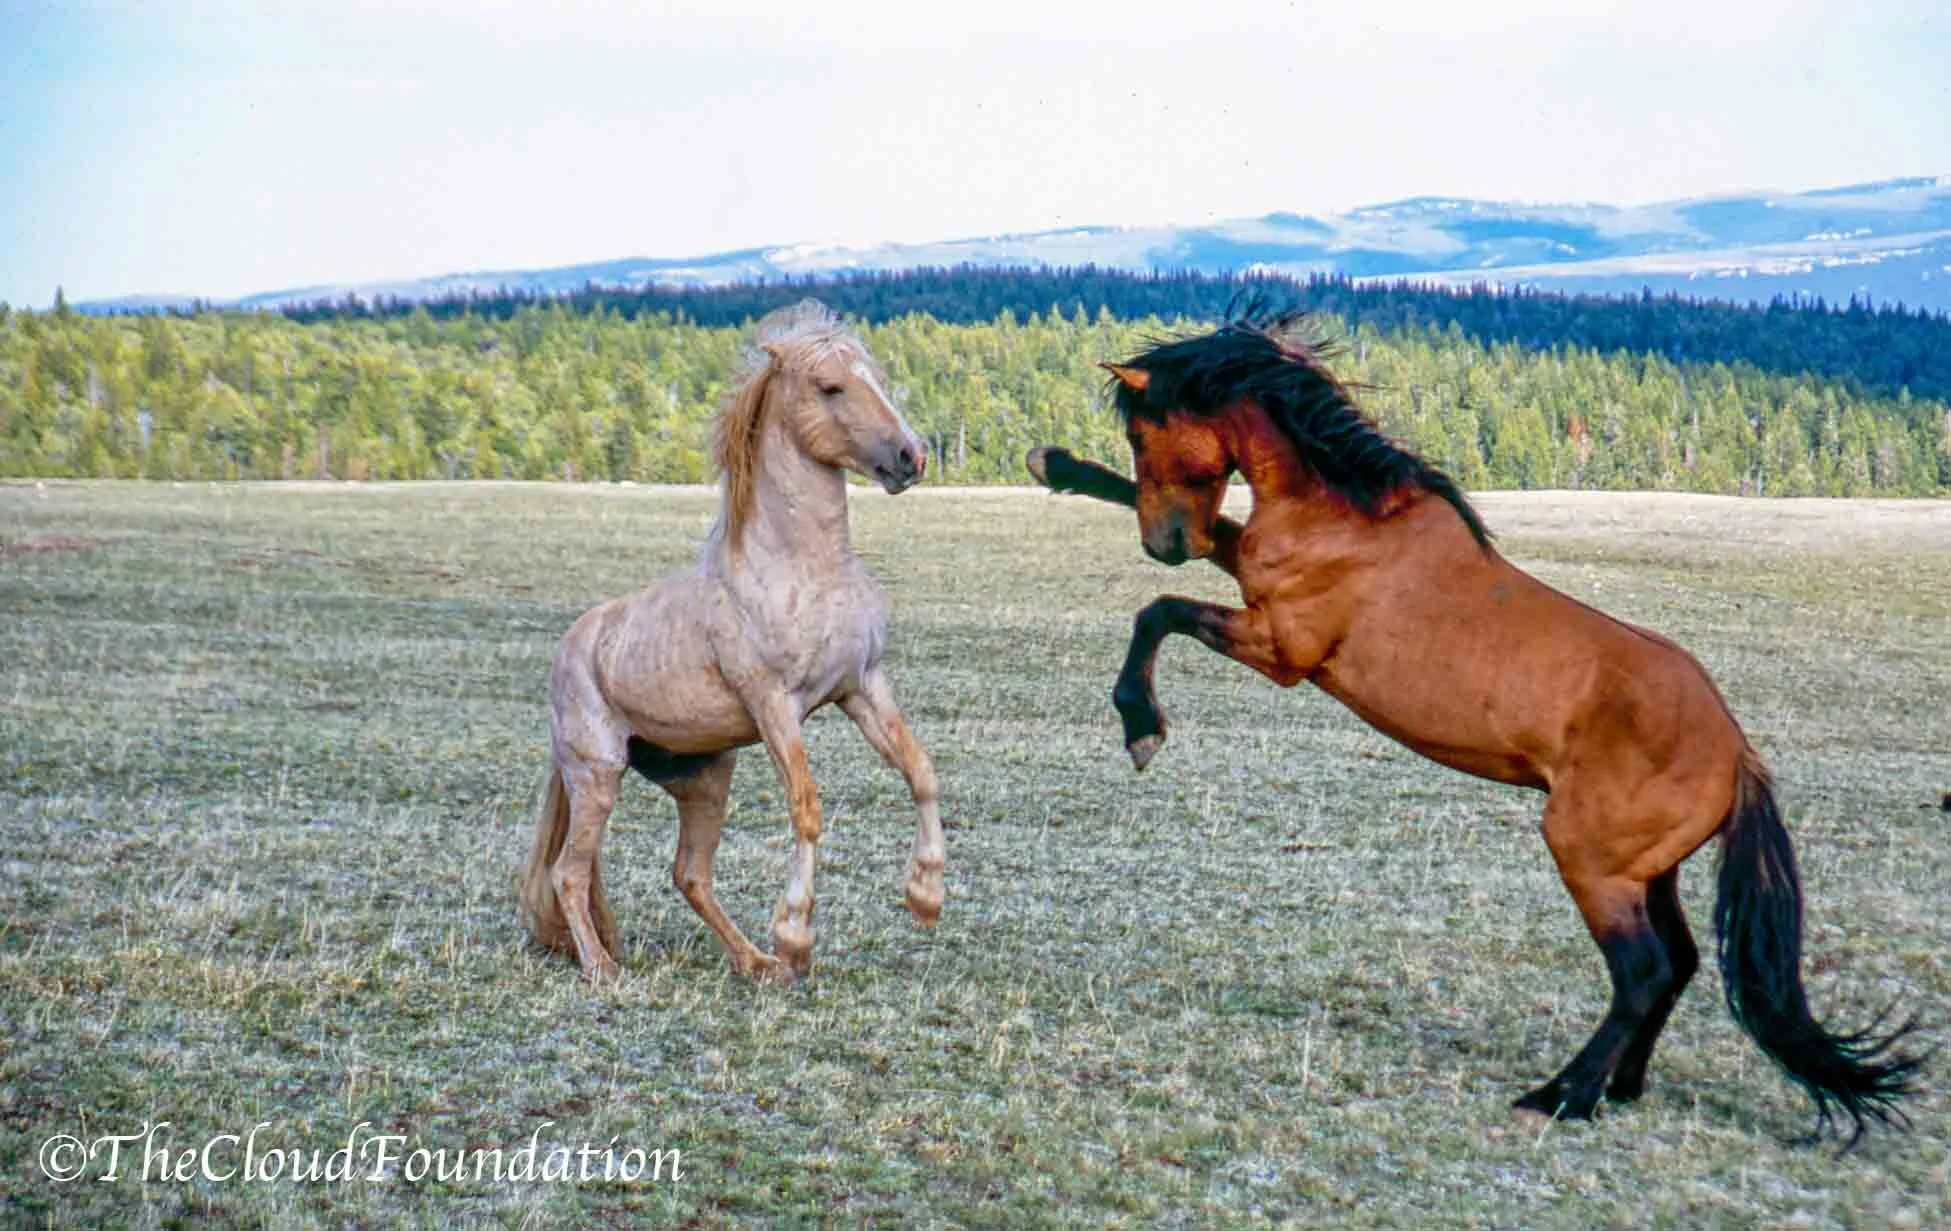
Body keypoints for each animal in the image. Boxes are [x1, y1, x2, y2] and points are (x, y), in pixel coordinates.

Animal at [518, 300, 944, 986]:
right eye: (830, 386)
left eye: (874, 377)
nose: (911, 456)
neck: (803, 568)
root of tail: (571, 649)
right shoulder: (774, 705)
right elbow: (806, 807)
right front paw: (796, 935)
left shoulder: (862, 687)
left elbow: (921, 772)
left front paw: (925, 897)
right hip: (597, 776)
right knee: (569, 873)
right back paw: (604, 969)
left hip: (705, 782)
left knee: (689, 875)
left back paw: (753, 961)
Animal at [1025, 309, 1921, 1143]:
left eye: (1142, 431)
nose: (1163, 543)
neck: (1350, 518)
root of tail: (1736, 754)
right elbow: (1187, 568)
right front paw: (1055, 465)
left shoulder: (1280, 646)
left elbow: (1158, 613)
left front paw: (1140, 725)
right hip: (1648, 870)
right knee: (1679, 964)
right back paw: (1620, 1086)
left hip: (1591, 860)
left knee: (1639, 971)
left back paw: (1560, 1095)